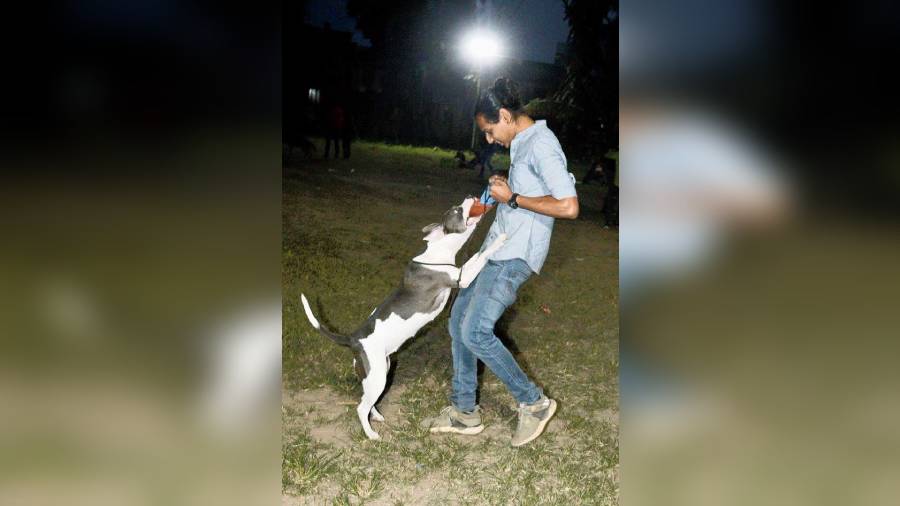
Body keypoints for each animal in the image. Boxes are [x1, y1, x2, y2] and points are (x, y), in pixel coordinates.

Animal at [302, 197, 506, 438]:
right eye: (457, 210)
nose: (470, 198)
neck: (437, 252)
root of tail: (354, 339)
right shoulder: (461, 278)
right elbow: (481, 256)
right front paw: (501, 239)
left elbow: (475, 255)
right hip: (378, 376)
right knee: (361, 407)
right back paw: (371, 434)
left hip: (379, 371)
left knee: (366, 400)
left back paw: (377, 417)